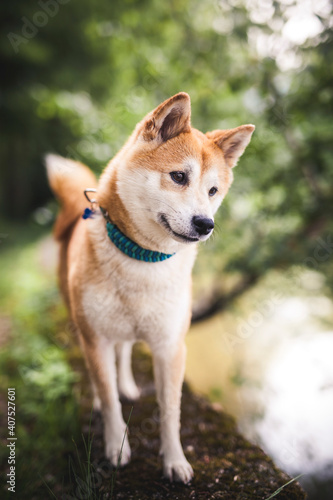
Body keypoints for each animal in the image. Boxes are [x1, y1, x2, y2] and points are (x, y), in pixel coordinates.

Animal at [46, 92, 254, 482]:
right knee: (102, 369)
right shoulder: (96, 337)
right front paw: (116, 447)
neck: (142, 261)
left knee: (125, 350)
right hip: (83, 322)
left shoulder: (170, 345)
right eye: (179, 176)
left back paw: (127, 384)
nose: (206, 223)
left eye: (213, 190)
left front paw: (175, 461)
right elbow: (109, 399)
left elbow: (170, 410)